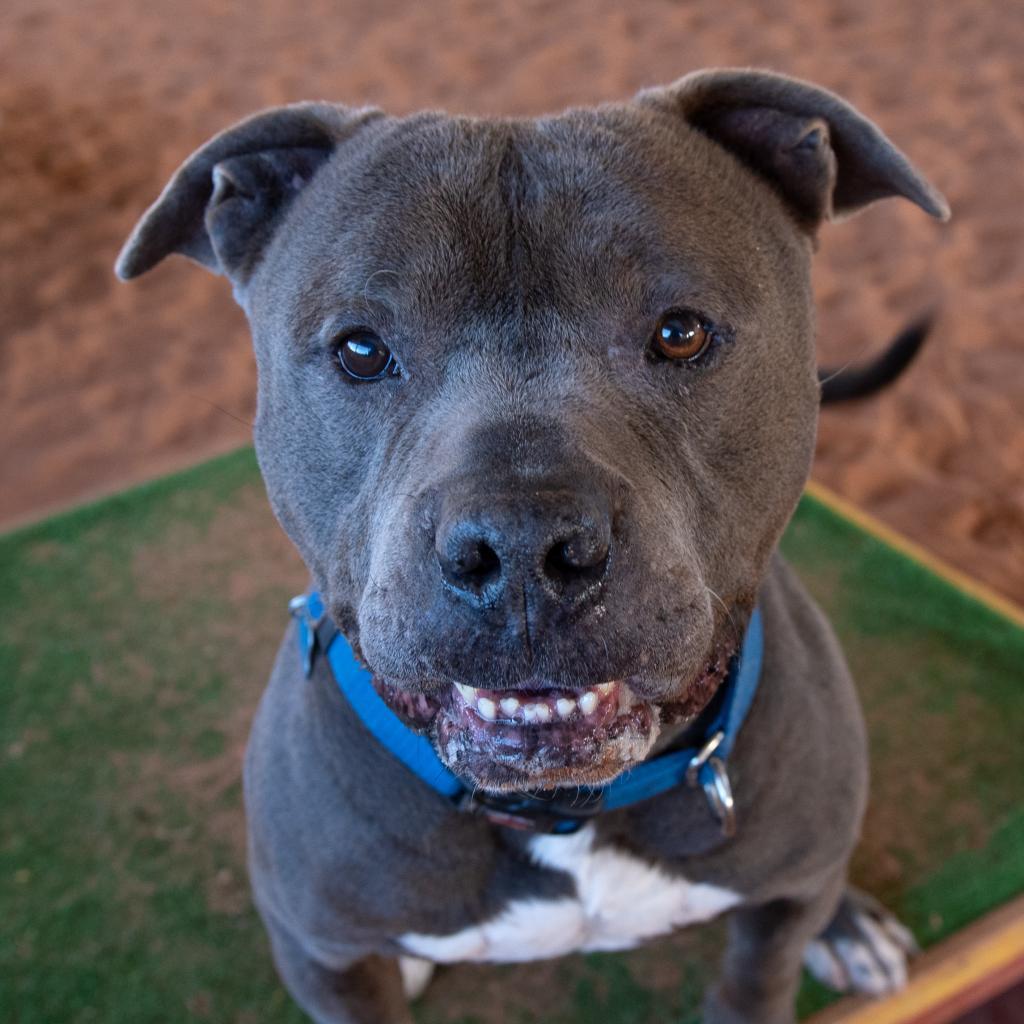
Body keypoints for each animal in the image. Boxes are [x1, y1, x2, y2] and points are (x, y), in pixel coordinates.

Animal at [116, 68, 946, 1019]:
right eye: (360, 349)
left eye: (682, 332)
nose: (520, 547)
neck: (565, 814)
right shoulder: (321, 955)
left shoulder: (777, 915)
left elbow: (754, 981)